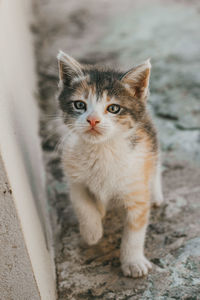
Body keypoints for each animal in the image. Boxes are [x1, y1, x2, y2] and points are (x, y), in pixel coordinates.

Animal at [55, 50, 163, 278]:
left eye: (113, 108)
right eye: (80, 105)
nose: (93, 120)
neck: (102, 150)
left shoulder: (136, 185)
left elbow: (135, 231)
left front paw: (133, 262)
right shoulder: (74, 177)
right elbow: (82, 204)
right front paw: (92, 232)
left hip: (149, 140)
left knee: (156, 163)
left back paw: (156, 194)